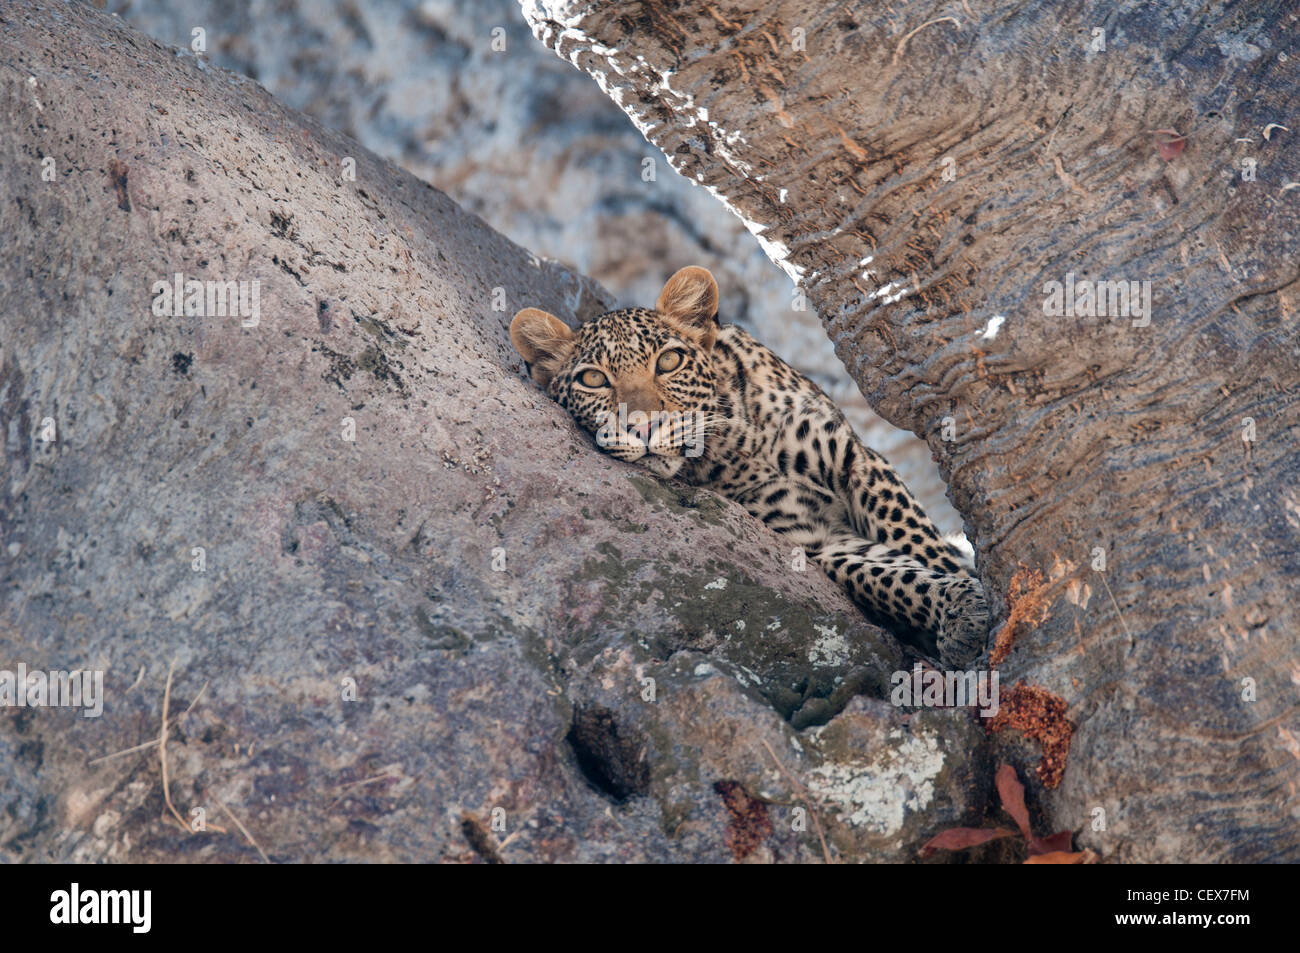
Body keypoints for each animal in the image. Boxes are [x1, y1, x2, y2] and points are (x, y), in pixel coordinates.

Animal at [512, 263, 987, 665]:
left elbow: (919, 543)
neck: (734, 441)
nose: (644, 427)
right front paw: (961, 612)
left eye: (668, 361)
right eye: (593, 379)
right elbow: (898, 577)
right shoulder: (814, 538)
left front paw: (974, 609)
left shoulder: (856, 459)